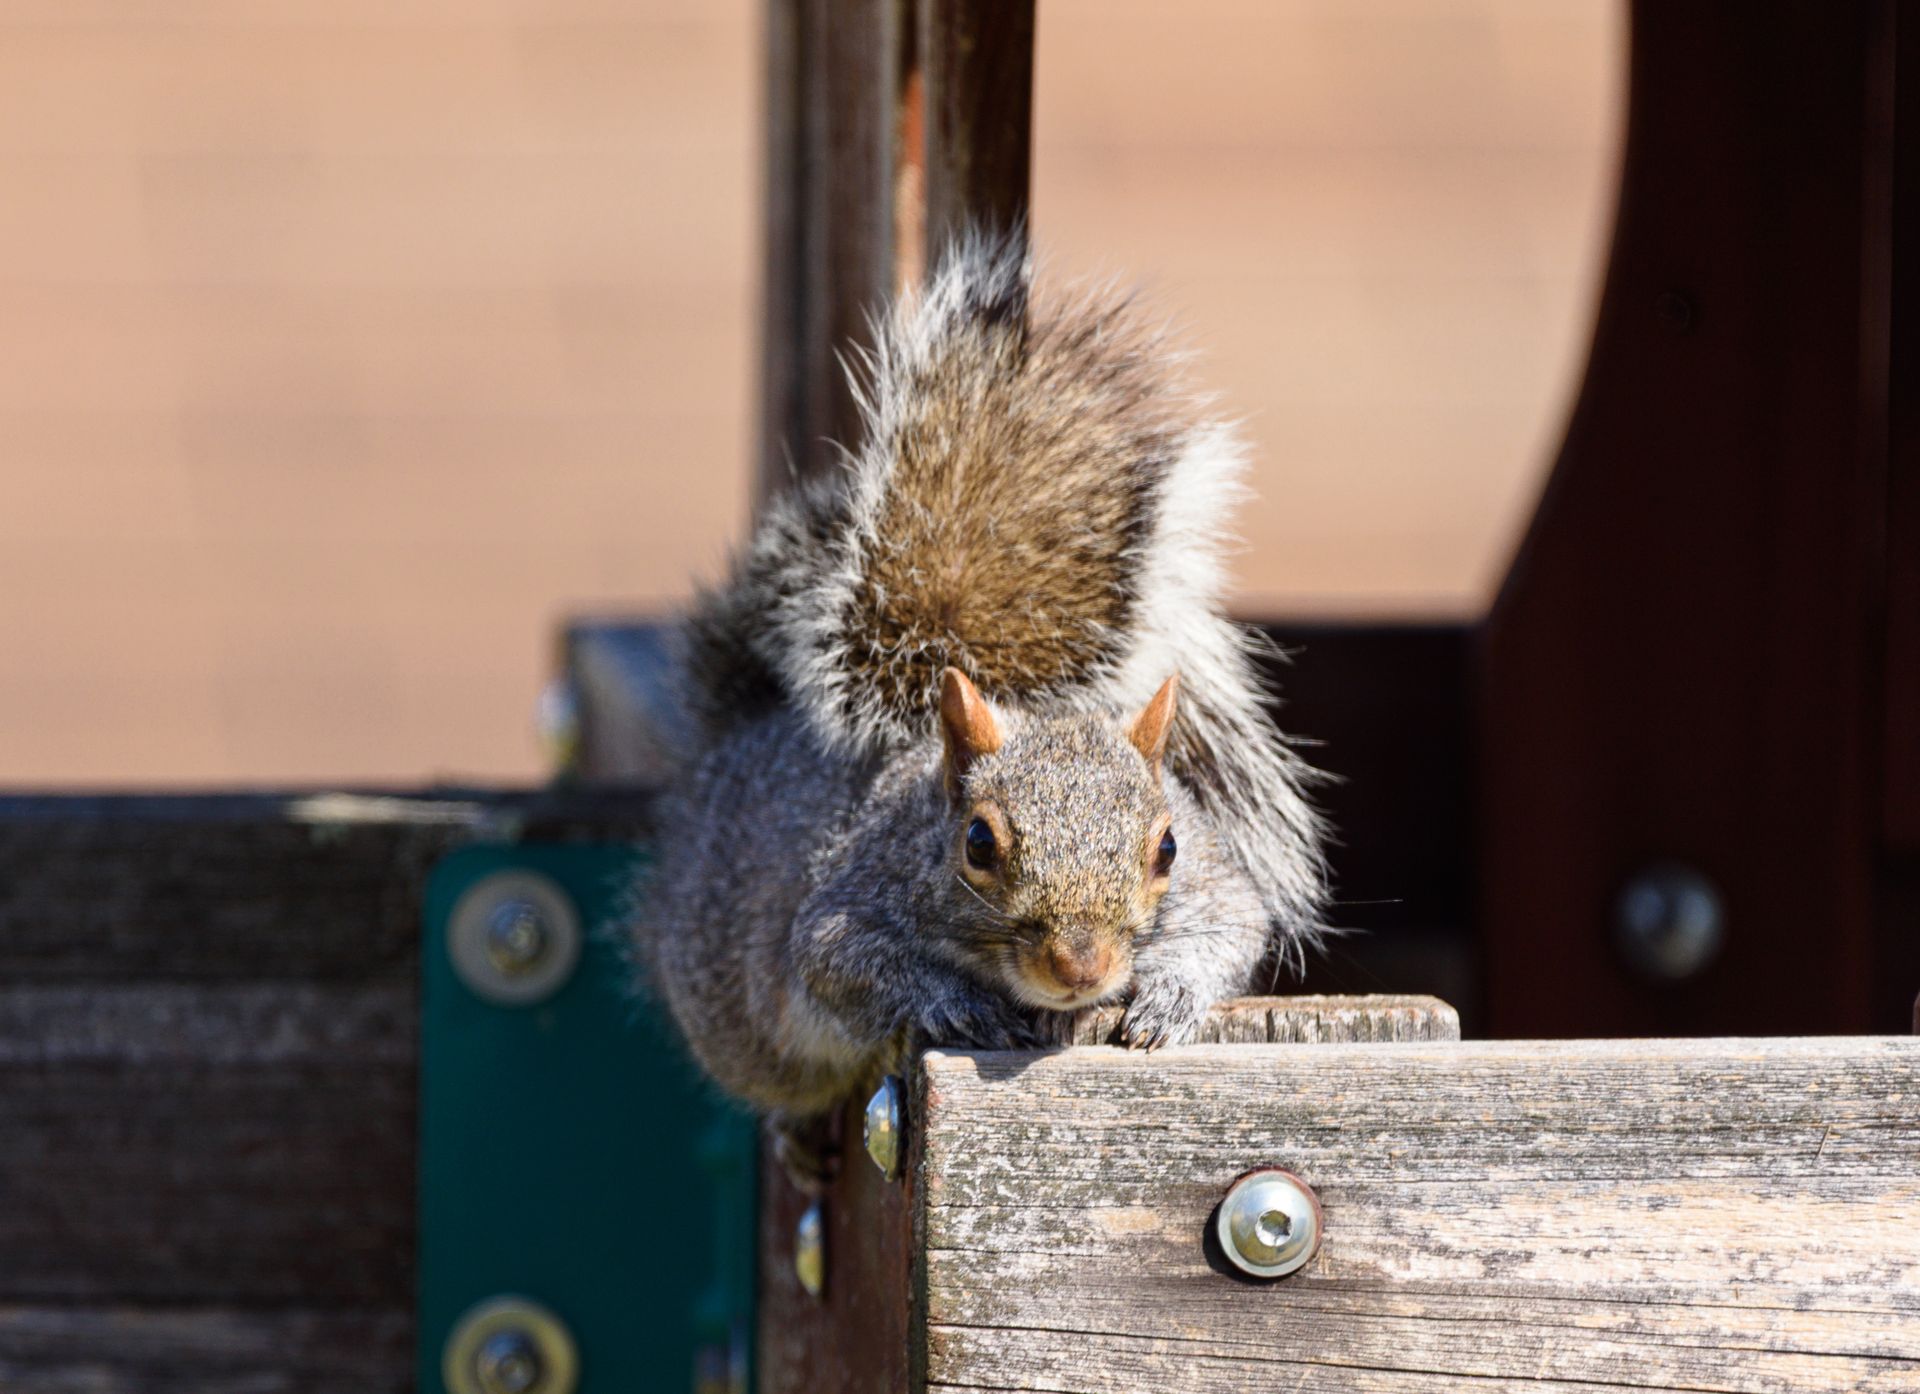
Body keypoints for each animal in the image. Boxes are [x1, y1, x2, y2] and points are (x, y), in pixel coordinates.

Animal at [637, 235, 1326, 1183]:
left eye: (1167, 848)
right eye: (978, 844)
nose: (1081, 966)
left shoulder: (1217, 887)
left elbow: (1231, 928)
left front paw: (1167, 995)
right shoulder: (841, 907)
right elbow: (838, 962)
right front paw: (957, 1001)